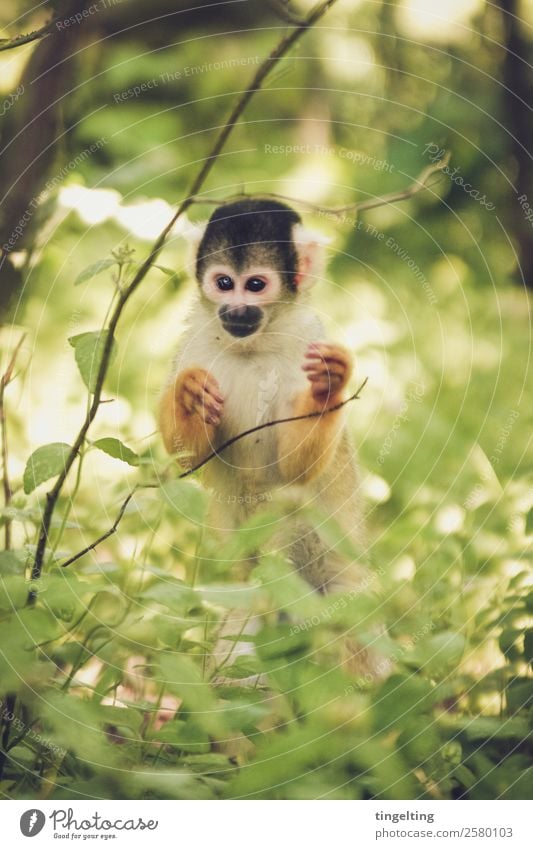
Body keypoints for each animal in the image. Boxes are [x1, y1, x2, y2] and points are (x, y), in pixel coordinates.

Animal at [158, 197, 382, 676]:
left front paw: (325, 389)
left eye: (256, 285)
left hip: (344, 588)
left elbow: (295, 468)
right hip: (251, 594)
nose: (236, 311)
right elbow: (188, 458)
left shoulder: (306, 339)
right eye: (224, 283)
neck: (253, 344)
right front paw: (189, 396)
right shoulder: (195, 342)